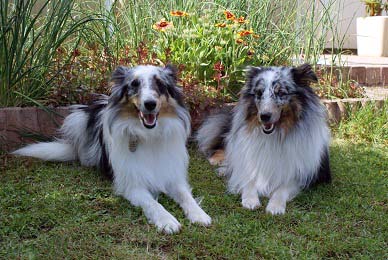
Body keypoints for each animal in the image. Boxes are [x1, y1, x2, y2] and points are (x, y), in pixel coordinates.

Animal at [13, 65, 211, 234]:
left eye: (160, 84)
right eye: (134, 84)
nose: (150, 104)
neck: (149, 135)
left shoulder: (173, 176)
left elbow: (186, 196)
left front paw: (199, 214)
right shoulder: (132, 184)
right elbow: (153, 204)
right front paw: (167, 220)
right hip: (78, 119)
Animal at [197, 64, 330, 214]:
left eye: (281, 93)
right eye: (259, 93)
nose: (264, 116)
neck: (274, 136)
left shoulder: (300, 175)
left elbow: (283, 188)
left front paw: (275, 206)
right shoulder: (248, 161)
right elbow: (247, 179)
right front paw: (250, 200)